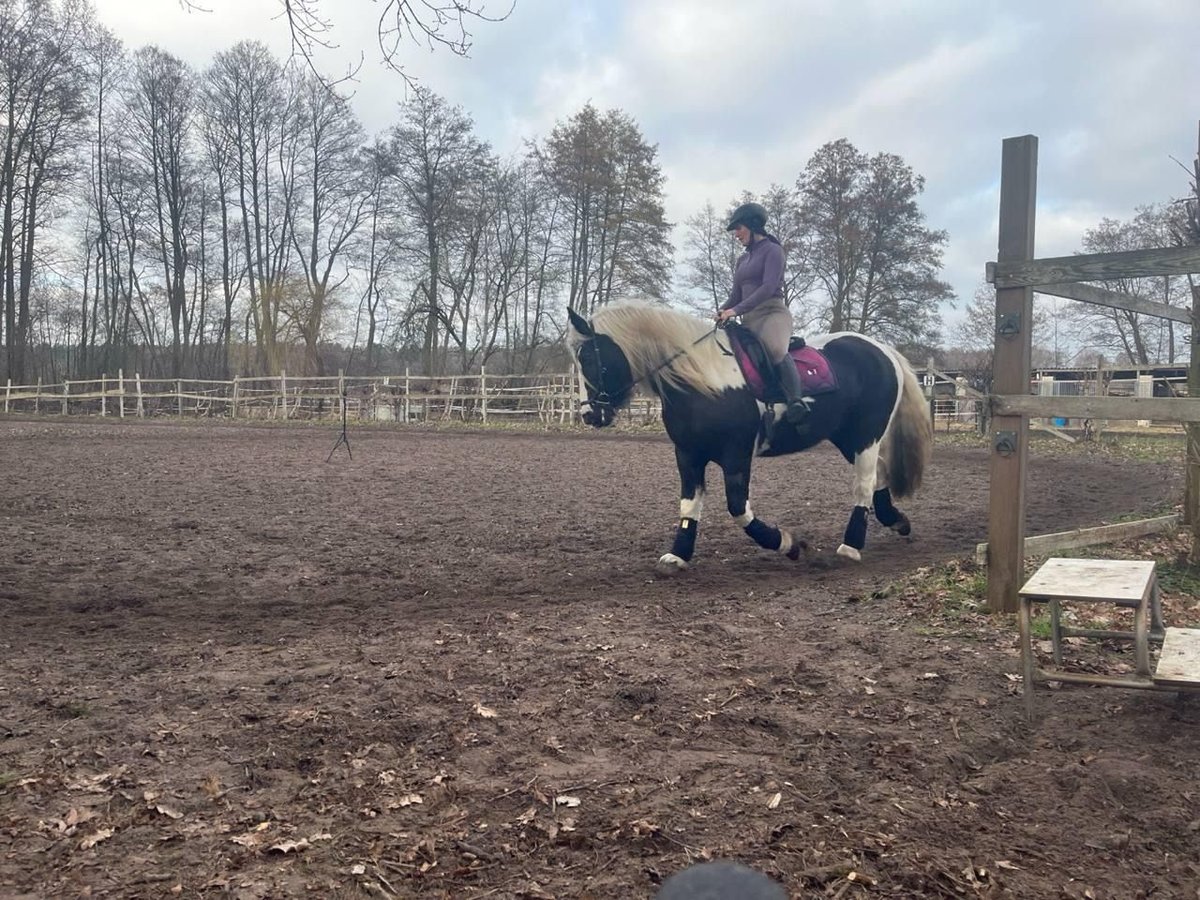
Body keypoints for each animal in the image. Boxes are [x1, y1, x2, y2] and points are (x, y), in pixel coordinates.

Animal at [566, 303, 931, 571]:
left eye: (592, 360)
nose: (589, 415)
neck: (706, 378)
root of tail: (882, 349)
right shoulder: (687, 453)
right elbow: (690, 504)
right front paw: (678, 555)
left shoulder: (736, 455)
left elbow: (738, 509)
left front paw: (788, 544)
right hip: (846, 437)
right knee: (879, 474)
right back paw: (897, 522)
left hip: (866, 434)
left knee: (864, 484)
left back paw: (851, 546)